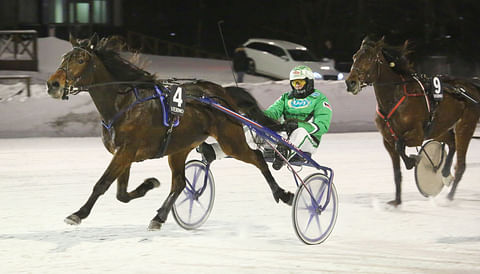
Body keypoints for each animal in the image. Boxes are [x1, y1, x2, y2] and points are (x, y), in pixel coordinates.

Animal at [47, 33, 292, 229]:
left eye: (80, 60)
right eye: (63, 58)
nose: (53, 85)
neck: (124, 103)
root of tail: (222, 93)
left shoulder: (126, 151)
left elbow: (103, 184)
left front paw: (78, 214)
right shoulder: (123, 153)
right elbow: (121, 194)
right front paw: (149, 184)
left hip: (231, 141)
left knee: (257, 157)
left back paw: (283, 194)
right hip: (179, 148)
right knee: (180, 183)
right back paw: (160, 216)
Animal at [346, 36, 480, 206]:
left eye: (369, 58)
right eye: (354, 57)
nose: (350, 82)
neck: (395, 97)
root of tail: (471, 87)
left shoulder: (417, 134)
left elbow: (400, 145)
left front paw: (412, 161)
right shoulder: (388, 141)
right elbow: (396, 170)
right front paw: (396, 201)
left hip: (465, 127)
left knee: (461, 164)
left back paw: (449, 197)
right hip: (439, 128)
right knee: (451, 143)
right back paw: (444, 173)